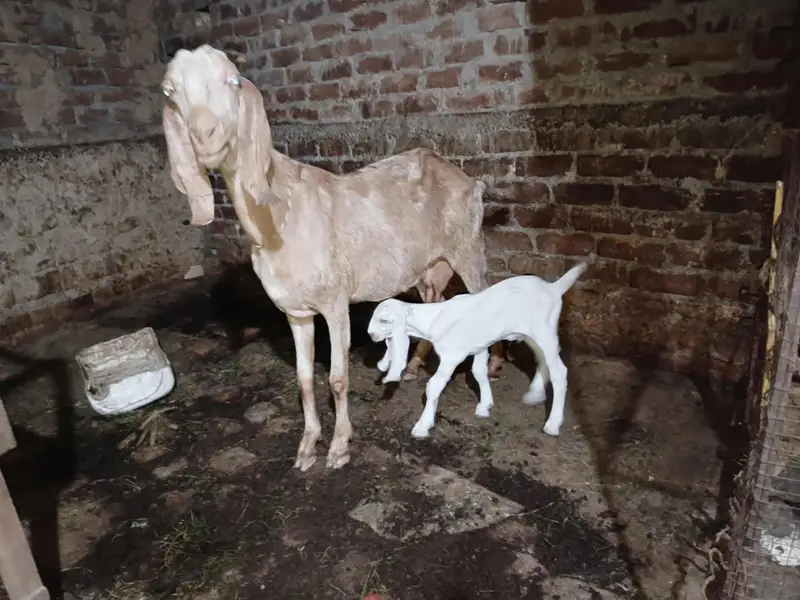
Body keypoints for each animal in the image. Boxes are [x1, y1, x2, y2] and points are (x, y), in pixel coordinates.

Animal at [160, 45, 504, 471]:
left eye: (233, 80)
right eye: (170, 91)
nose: (205, 137)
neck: (280, 215)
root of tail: (472, 182)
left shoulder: (336, 302)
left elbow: (337, 380)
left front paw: (339, 447)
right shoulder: (295, 312)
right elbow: (304, 379)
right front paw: (307, 446)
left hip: (467, 248)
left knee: (487, 295)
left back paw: (493, 364)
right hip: (430, 266)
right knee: (433, 302)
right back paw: (414, 366)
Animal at [367, 262, 588, 439]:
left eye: (384, 320)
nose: (371, 334)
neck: (435, 317)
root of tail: (553, 288)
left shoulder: (452, 355)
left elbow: (434, 386)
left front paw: (422, 426)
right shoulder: (479, 346)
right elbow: (478, 372)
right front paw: (485, 406)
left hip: (544, 332)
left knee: (559, 371)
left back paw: (553, 424)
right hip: (533, 335)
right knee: (542, 360)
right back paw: (535, 393)